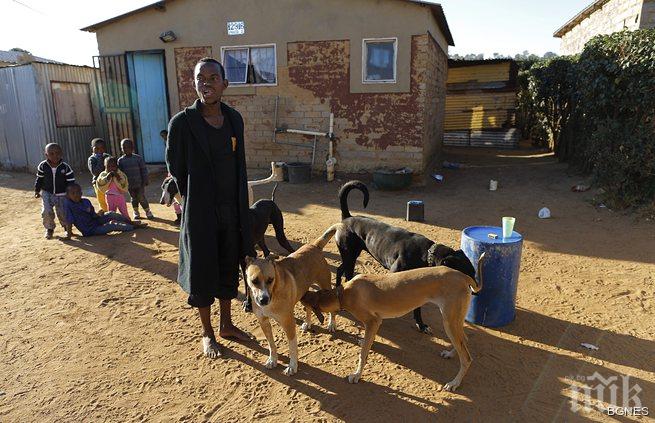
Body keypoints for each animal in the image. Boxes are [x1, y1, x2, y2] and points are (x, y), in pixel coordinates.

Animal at [243, 227, 340, 376]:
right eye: (254, 281)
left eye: (271, 279)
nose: (263, 300)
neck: (274, 294)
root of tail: (314, 245)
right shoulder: (263, 322)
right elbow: (271, 344)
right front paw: (273, 360)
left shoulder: (288, 323)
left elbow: (292, 347)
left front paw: (292, 366)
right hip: (303, 291)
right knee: (309, 308)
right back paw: (307, 323)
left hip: (325, 286)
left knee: (332, 309)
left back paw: (331, 324)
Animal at [302, 253, 486, 392]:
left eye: (306, 305)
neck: (343, 293)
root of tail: (463, 276)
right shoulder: (374, 324)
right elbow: (367, 343)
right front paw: (363, 342)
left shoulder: (374, 321)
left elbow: (363, 354)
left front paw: (357, 375)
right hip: (454, 320)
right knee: (464, 340)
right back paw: (450, 353)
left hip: (449, 321)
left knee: (467, 358)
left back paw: (455, 383)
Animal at [338, 181, 476, 332]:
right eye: (466, 274)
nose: (476, 291)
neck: (426, 254)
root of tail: (348, 217)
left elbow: (417, 308)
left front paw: (421, 325)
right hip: (349, 256)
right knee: (346, 275)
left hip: (350, 256)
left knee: (340, 270)